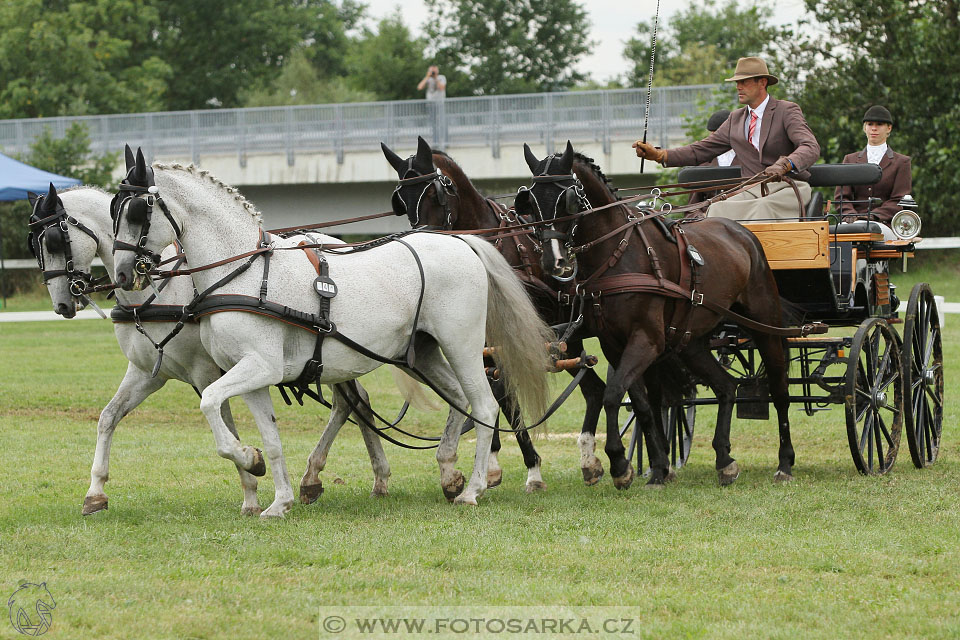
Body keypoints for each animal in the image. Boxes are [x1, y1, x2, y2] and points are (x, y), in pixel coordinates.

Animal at [30, 179, 390, 516]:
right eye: (35, 245)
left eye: (53, 240)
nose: (62, 304)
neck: (161, 292)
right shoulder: (147, 373)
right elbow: (108, 417)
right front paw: (95, 493)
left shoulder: (205, 373)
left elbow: (226, 426)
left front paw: (251, 484)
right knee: (354, 402)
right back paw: (365, 479)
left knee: (349, 403)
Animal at [110, 158, 556, 516]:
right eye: (113, 209)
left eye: (136, 209)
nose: (122, 274)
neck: (244, 273)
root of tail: (463, 242)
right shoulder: (250, 374)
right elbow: (271, 437)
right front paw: (278, 499)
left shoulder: (261, 366)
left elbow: (209, 403)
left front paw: (249, 460)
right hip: (424, 352)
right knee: (460, 400)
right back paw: (450, 474)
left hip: (461, 344)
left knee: (484, 405)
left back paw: (474, 489)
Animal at [516, 142, 796, 488]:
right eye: (530, 203)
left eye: (567, 200)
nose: (553, 262)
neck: (618, 254)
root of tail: (740, 231)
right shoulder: (615, 345)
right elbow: (641, 403)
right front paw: (658, 468)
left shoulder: (646, 339)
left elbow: (613, 394)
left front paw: (619, 464)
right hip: (690, 342)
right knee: (726, 387)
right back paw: (724, 459)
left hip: (765, 323)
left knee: (780, 391)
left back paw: (784, 462)